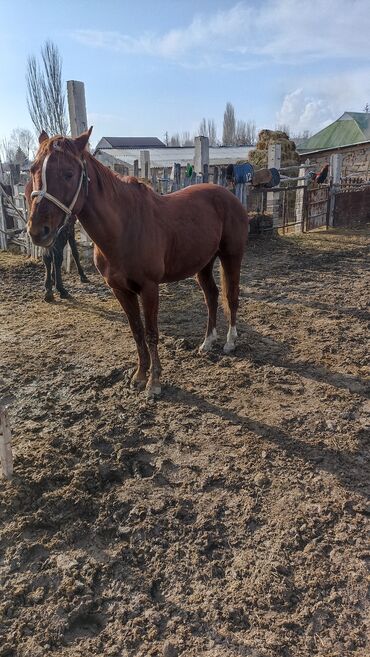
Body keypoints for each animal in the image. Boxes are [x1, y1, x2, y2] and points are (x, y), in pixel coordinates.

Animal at [26, 127, 249, 394]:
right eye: (33, 169)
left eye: (69, 173)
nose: (37, 231)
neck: (124, 228)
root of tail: (228, 194)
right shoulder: (121, 290)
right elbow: (137, 332)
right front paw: (140, 376)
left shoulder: (149, 288)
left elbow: (151, 332)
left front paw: (154, 383)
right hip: (203, 263)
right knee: (212, 296)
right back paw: (207, 342)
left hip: (231, 256)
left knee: (231, 296)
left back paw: (230, 342)